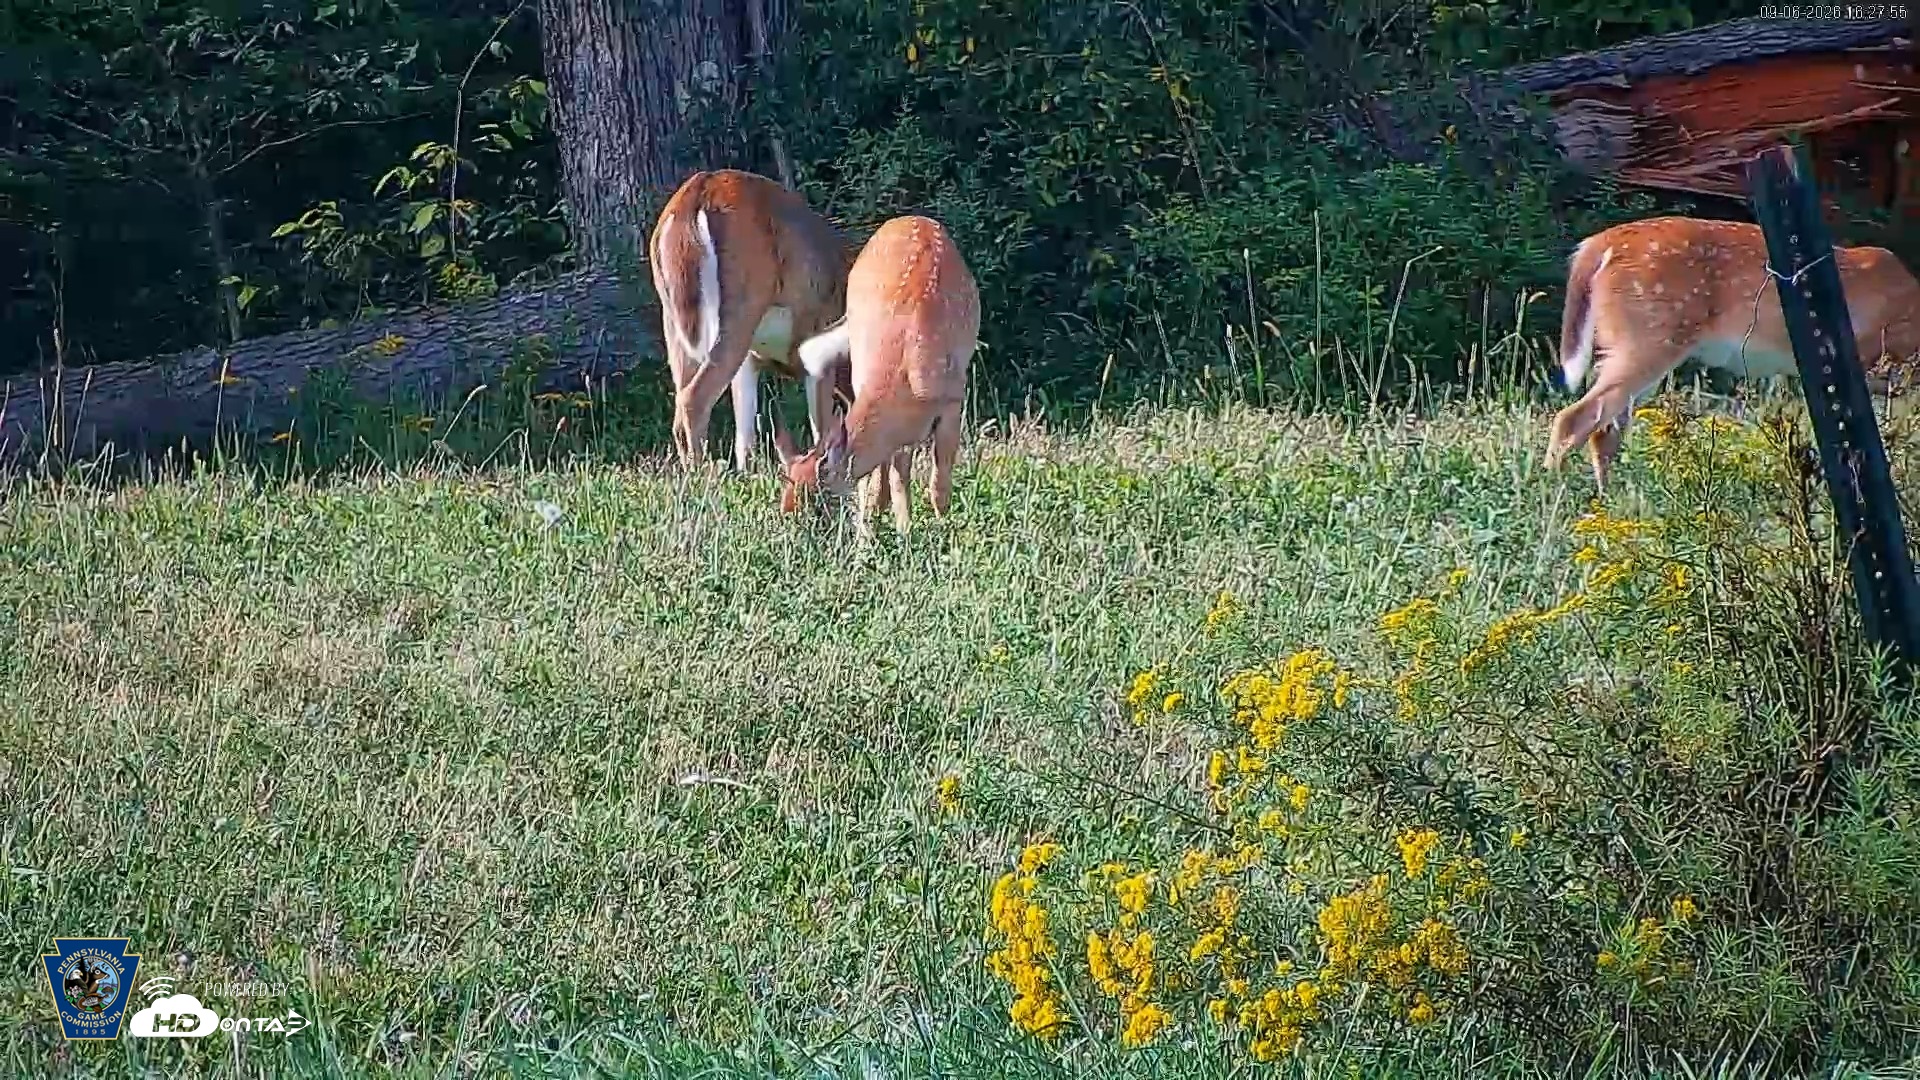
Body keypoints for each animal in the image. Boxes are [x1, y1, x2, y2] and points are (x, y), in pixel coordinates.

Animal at [649, 169, 856, 472]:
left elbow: (745, 436)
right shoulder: (817, 339)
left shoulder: (750, 359)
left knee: (680, 405)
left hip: (675, 321)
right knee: (693, 399)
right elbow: (822, 427)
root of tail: (697, 191)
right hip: (738, 310)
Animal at [770, 214, 980, 536]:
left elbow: (938, 484)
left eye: (816, 506)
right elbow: (887, 478)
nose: (788, 535)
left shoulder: (954, 400)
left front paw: (939, 529)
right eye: (784, 501)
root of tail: (912, 217)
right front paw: (883, 532)